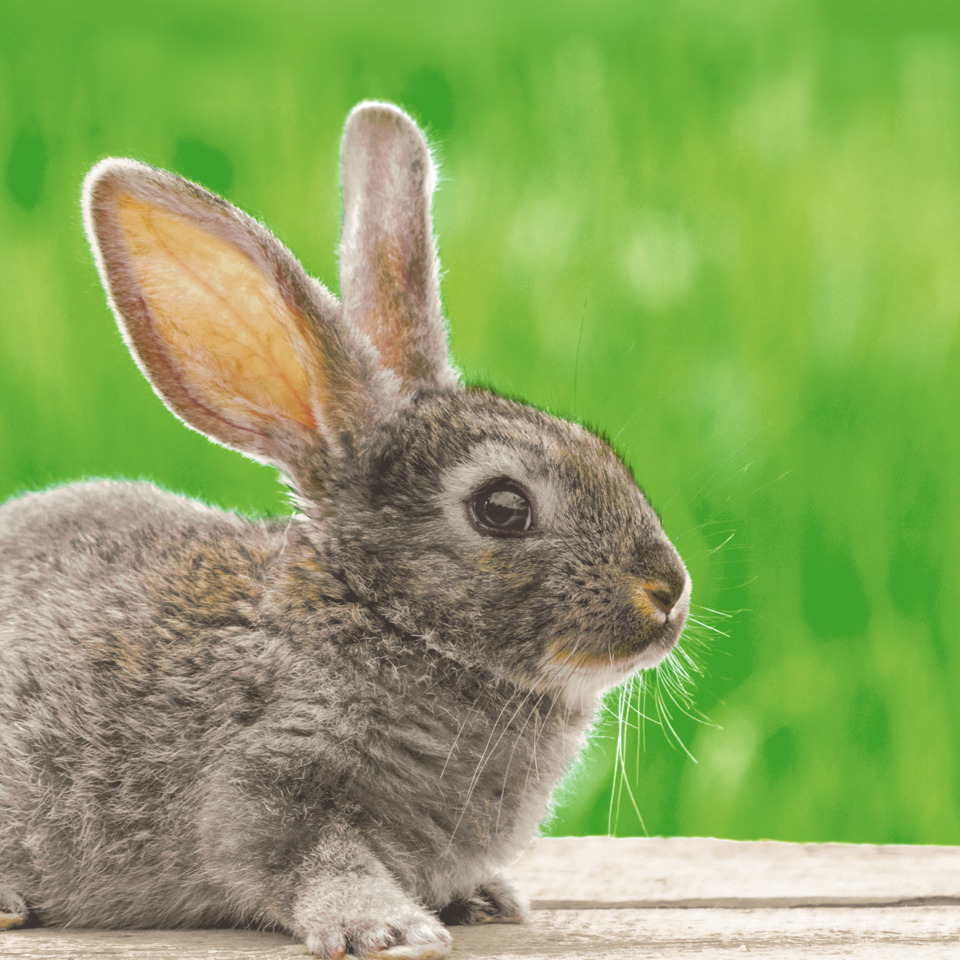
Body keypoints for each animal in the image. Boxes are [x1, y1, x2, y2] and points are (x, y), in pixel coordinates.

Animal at [0, 101, 691, 959]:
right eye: (501, 507)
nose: (669, 592)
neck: (376, 613)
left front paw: (486, 898)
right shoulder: (269, 783)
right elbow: (305, 858)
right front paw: (387, 928)